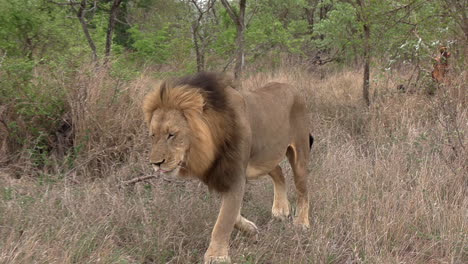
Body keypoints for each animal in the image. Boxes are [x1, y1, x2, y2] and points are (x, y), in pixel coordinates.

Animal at [141, 72, 312, 264]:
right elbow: (232, 214)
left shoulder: (235, 174)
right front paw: (251, 230)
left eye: (172, 134)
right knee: (279, 172)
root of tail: (293, 88)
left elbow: (224, 220)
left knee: (303, 189)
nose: (155, 163)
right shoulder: (222, 174)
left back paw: (301, 223)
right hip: (265, 155)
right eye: (153, 135)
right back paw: (281, 209)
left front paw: (217, 256)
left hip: (299, 153)